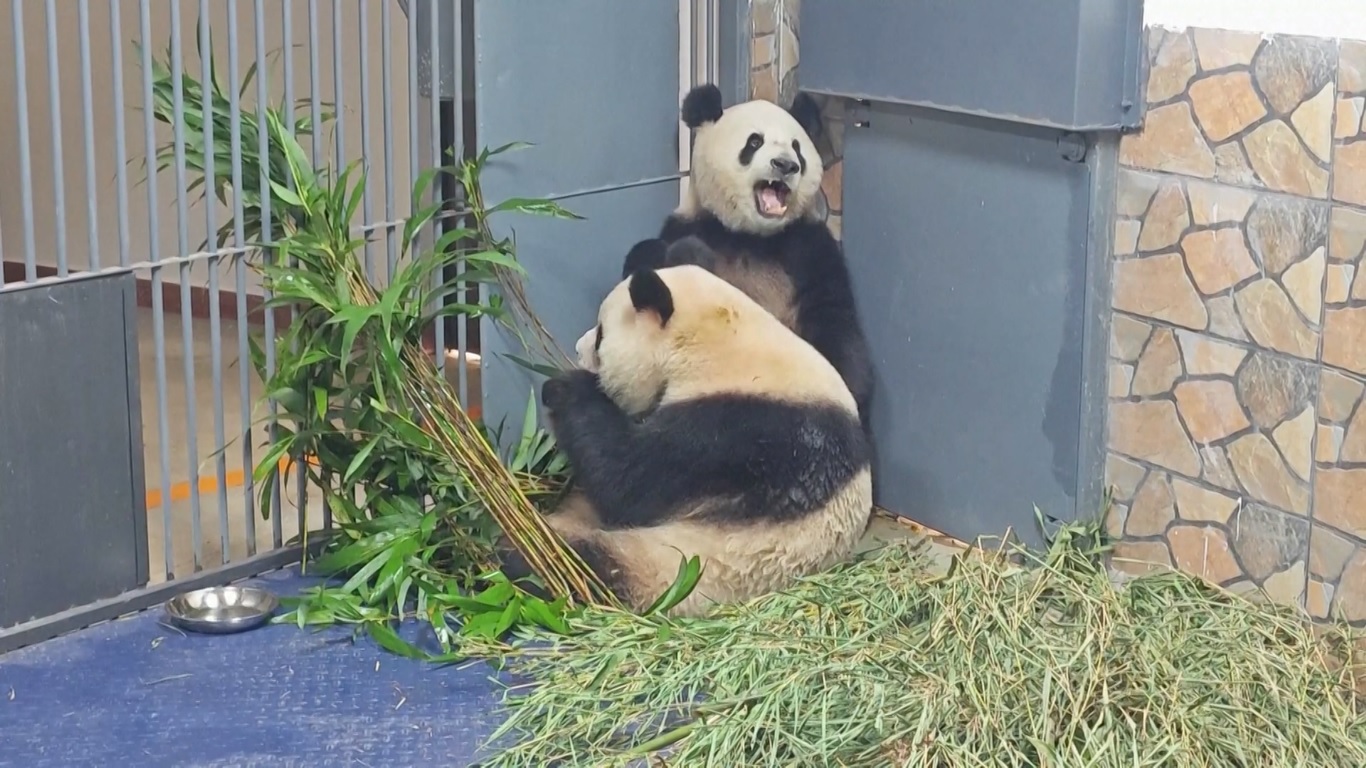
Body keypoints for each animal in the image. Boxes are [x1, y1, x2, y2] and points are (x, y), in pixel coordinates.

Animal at [501, 241, 873, 618]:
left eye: (602, 336)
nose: (578, 348)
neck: (722, 342)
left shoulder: (738, 429)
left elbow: (630, 482)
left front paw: (563, 389)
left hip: (681, 570)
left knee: (587, 566)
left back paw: (523, 556)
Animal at [623, 83, 875, 438]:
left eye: (797, 148)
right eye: (754, 142)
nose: (785, 165)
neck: (750, 235)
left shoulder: (807, 246)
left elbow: (833, 314)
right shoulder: (692, 225)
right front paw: (687, 254)